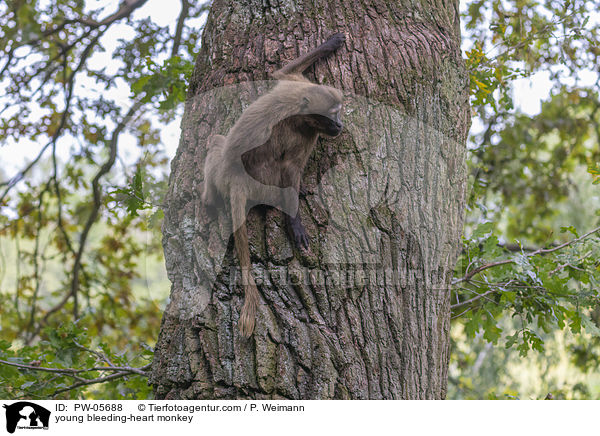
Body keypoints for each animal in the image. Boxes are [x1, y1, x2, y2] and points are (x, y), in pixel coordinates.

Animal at [202, 32, 344, 338]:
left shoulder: (296, 83)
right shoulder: (305, 132)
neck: (300, 105)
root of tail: (236, 179)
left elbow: (283, 71)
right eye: (331, 116)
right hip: (262, 186)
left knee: (215, 141)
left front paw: (330, 43)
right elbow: (290, 167)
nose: (339, 126)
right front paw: (295, 222)